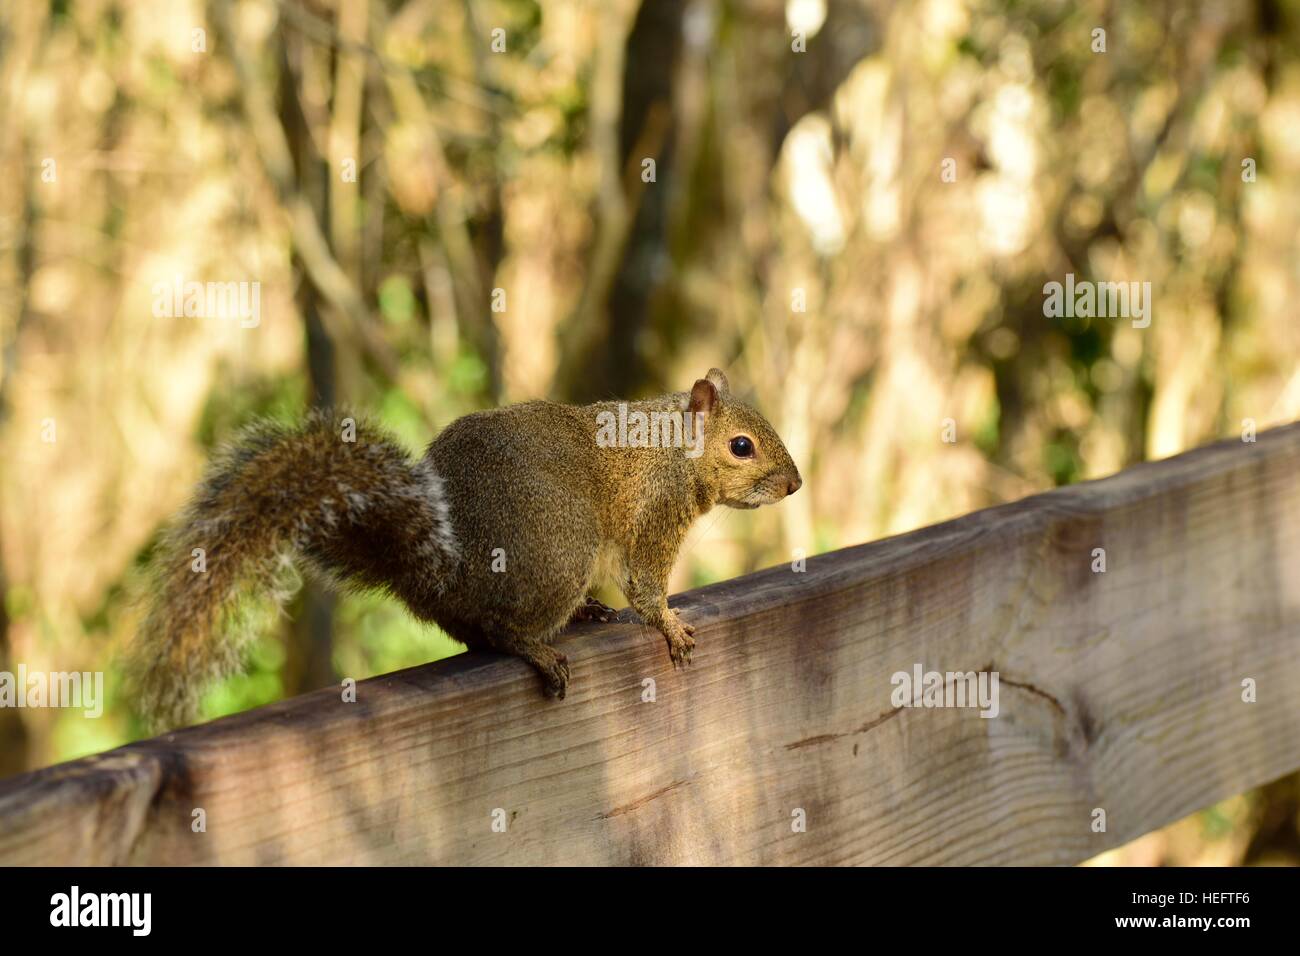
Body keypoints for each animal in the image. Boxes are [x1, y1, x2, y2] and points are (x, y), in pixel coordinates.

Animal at [131, 369, 800, 728]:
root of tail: (439, 570)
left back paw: (580, 612)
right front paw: (668, 623)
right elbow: (645, 584)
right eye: (742, 447)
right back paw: (538, 648)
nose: (794, 485)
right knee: (500, 629)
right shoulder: (656, 512)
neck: (670, 448)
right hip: (561, 549)